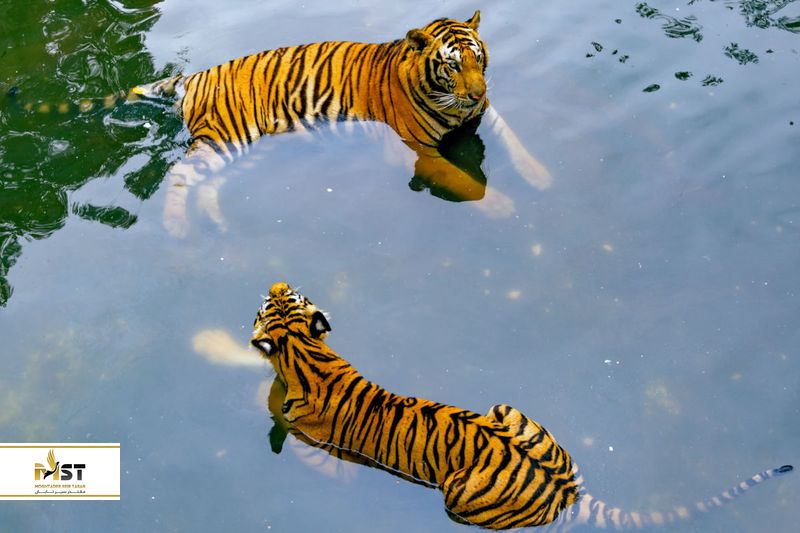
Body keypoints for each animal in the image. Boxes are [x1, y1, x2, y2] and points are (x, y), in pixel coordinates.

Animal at [127, 11, 552, 236]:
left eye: (477, 58)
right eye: (452, 65)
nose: (478, 93)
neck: (453, 105)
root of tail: (197, 75)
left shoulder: (485, 114)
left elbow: (514, 139)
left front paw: (541, 176)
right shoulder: (416, 152)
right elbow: (462, 181)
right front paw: (500, 206)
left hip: (246, 148)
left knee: (209, 183)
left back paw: (218, 224)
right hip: (223, 140)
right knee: (180, 173)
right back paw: (177, 228)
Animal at [250, 282, 794, 530]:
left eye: (276, 299)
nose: (275, 282)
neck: (307, 351)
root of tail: (568, 492)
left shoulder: (316, 445)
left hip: (458, 496)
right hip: (506, 408)